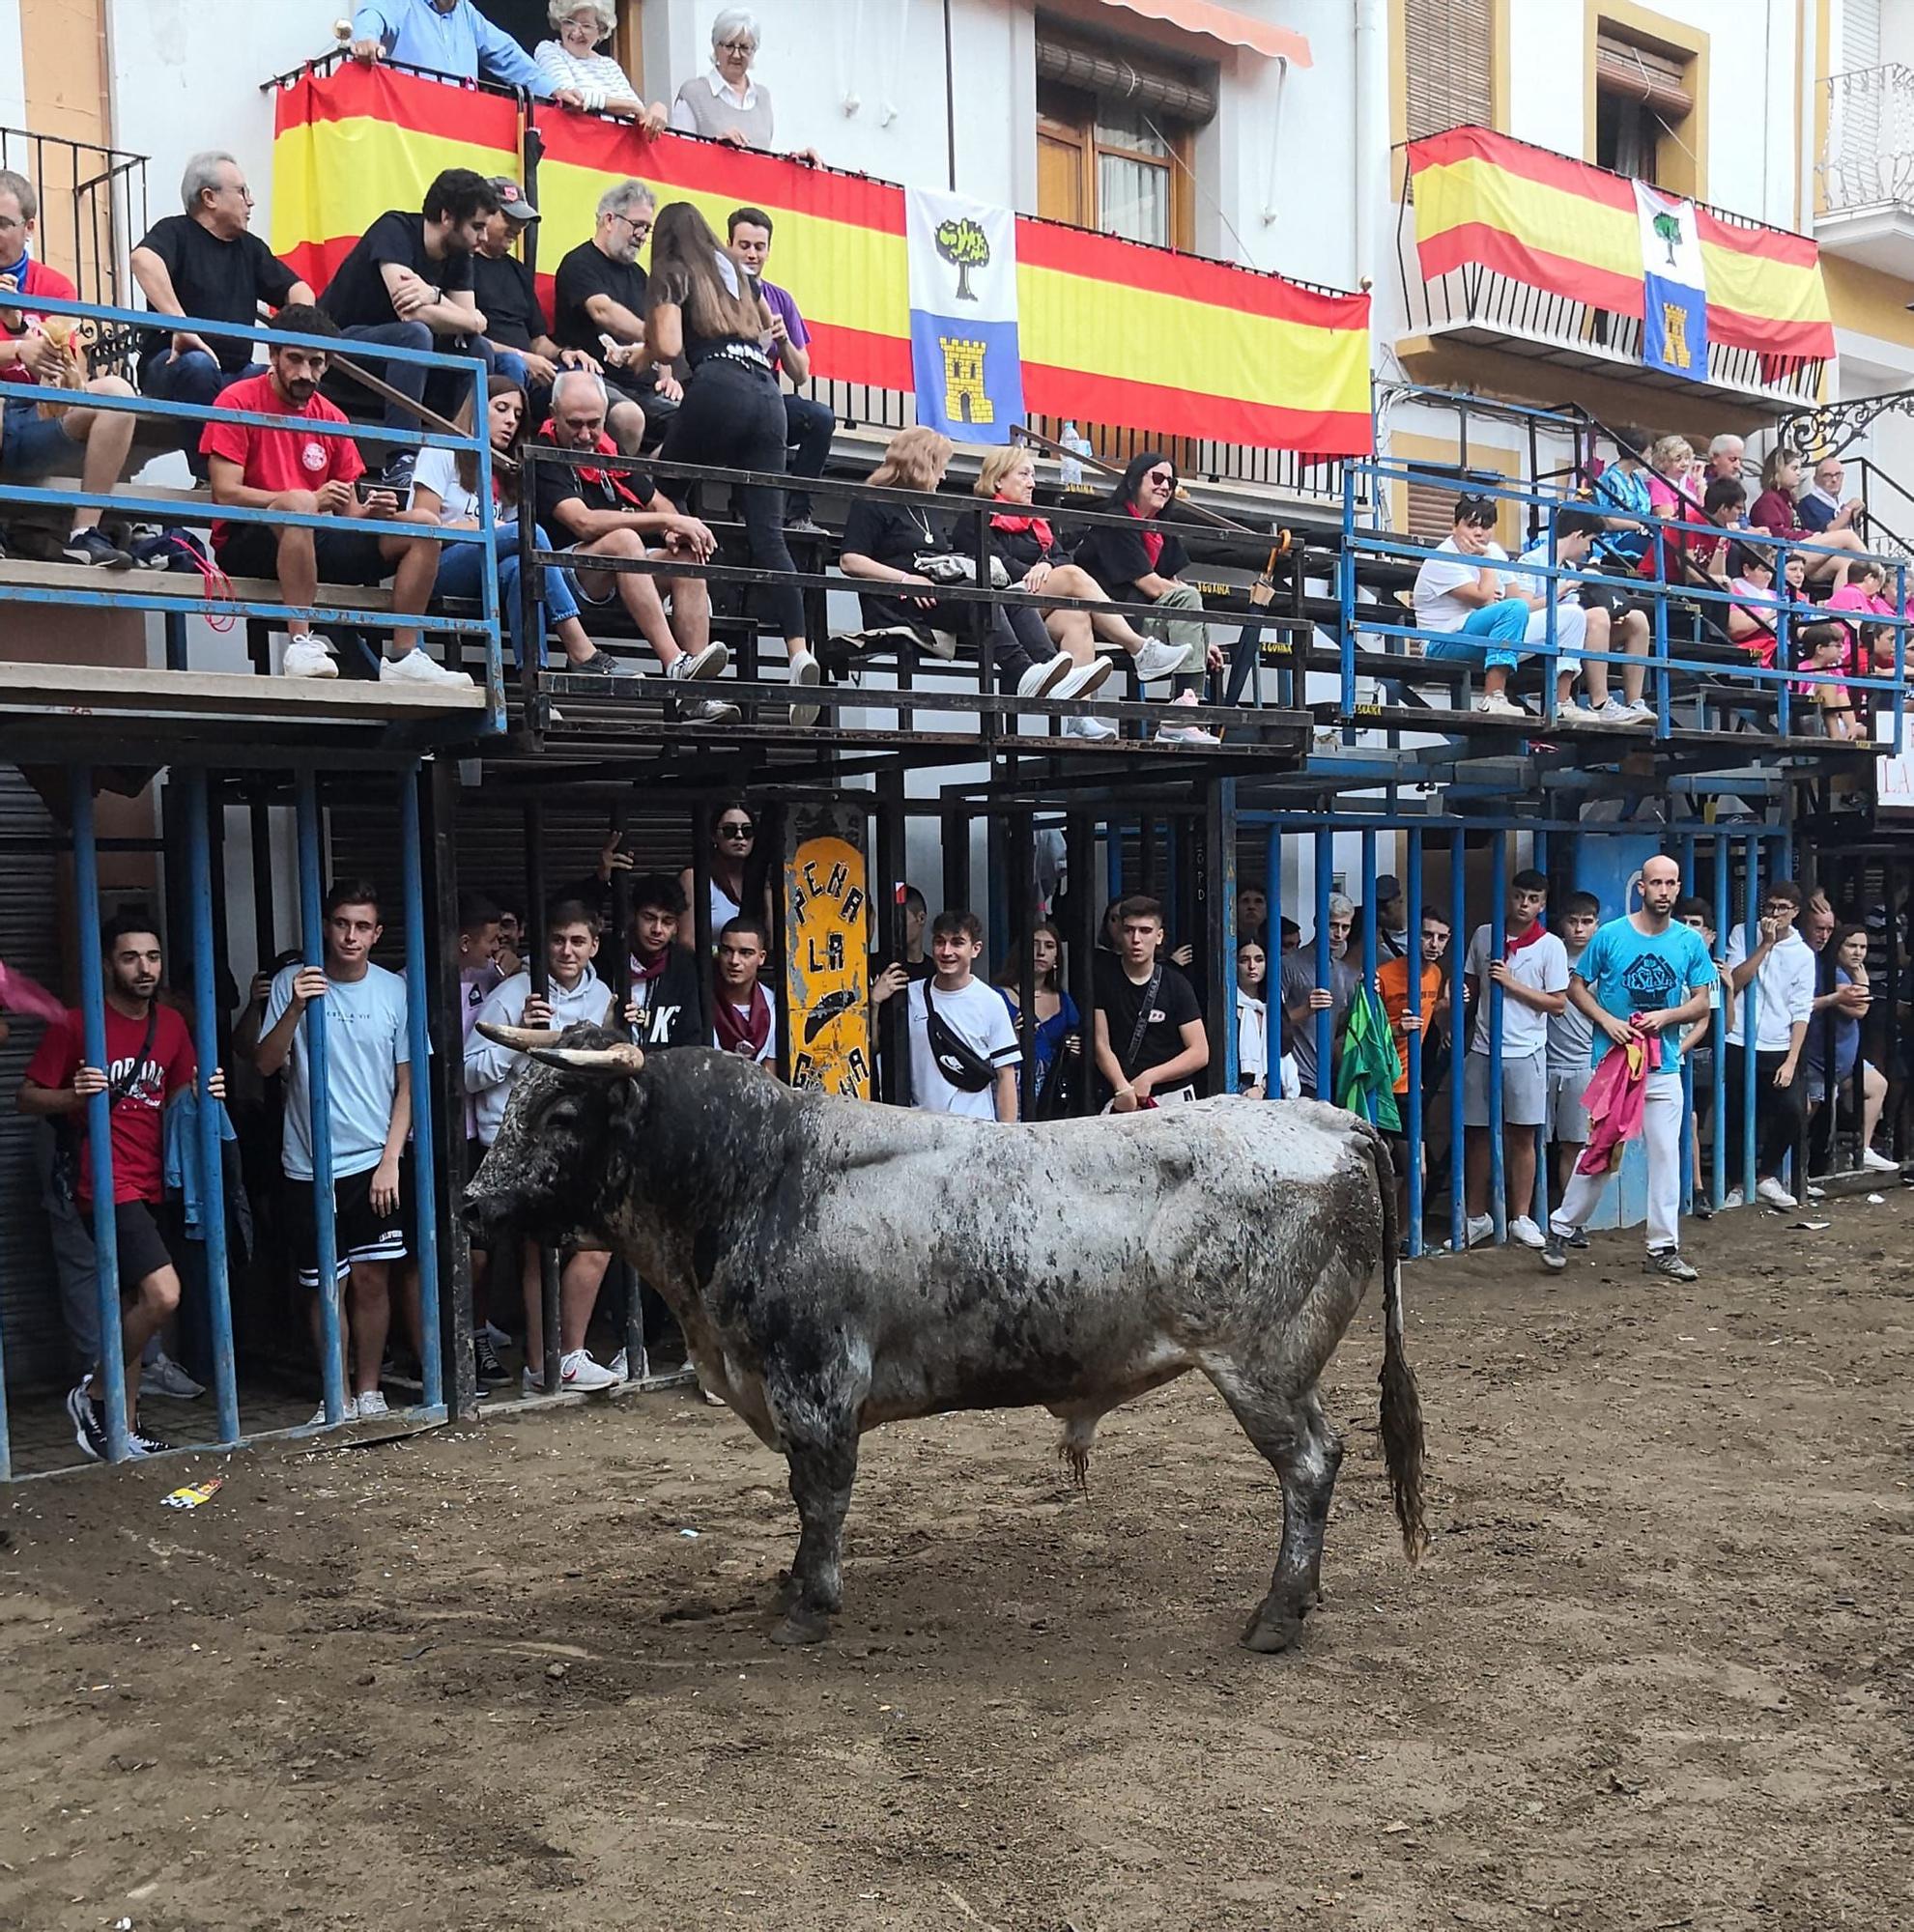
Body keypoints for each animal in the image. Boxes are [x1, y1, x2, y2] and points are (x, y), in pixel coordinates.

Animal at [464, 1036, 1422, 1654]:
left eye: (559, 1112)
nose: (471, 1205)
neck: (760, 1173)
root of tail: (1329, 1121)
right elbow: (805, 1499)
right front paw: (790, 1585)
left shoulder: (814, 1383)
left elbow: (820, 1496)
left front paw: (808, 1606)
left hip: (1258, 1368)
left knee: (1309, 1467)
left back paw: (1276, 1614)